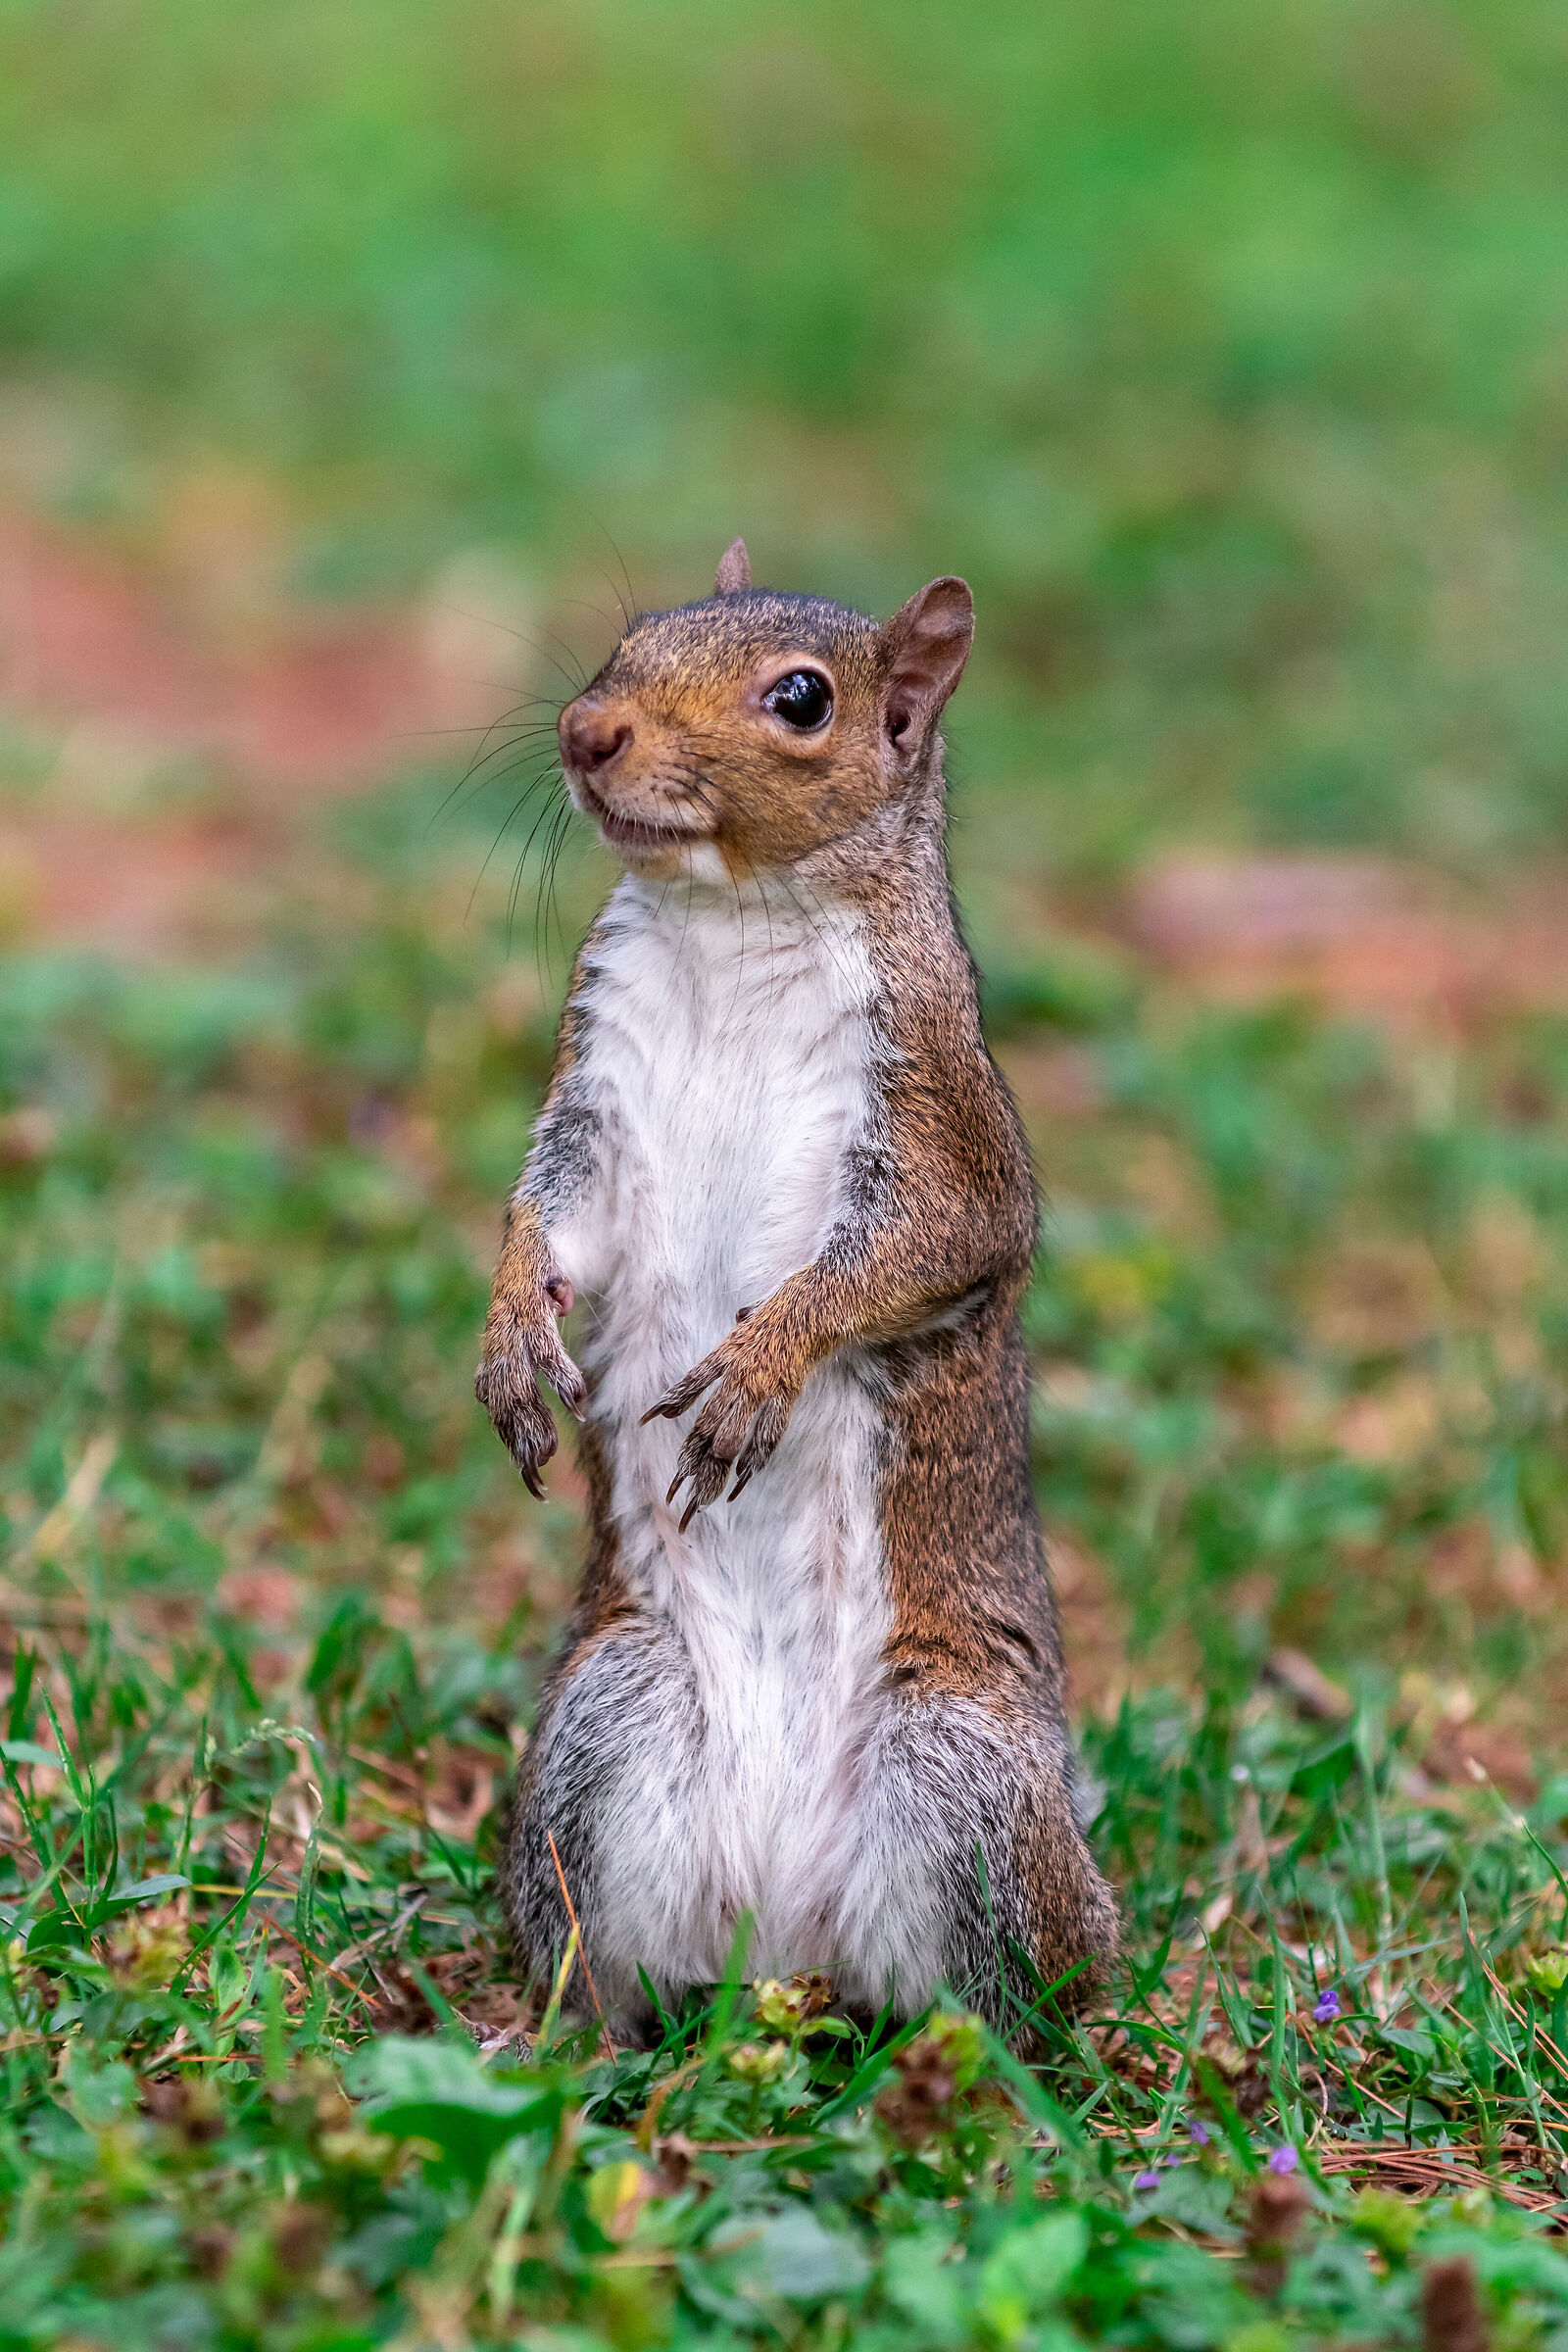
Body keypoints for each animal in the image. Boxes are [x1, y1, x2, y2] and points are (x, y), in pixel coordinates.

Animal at [476, 539, 1117, 2039]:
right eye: (635, 635)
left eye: (802, 700)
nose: (588, 731)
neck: (729, 916)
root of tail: (780, 1939)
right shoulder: (598, 1091)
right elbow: (556, 1221)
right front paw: (510, 1331)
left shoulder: (938, 1117)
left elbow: (918, 1253)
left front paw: (763, 1366)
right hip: (613, 1716)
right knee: (609, 1953)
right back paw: (565, 2037)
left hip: (959, 1768)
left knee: (1000, 2004)